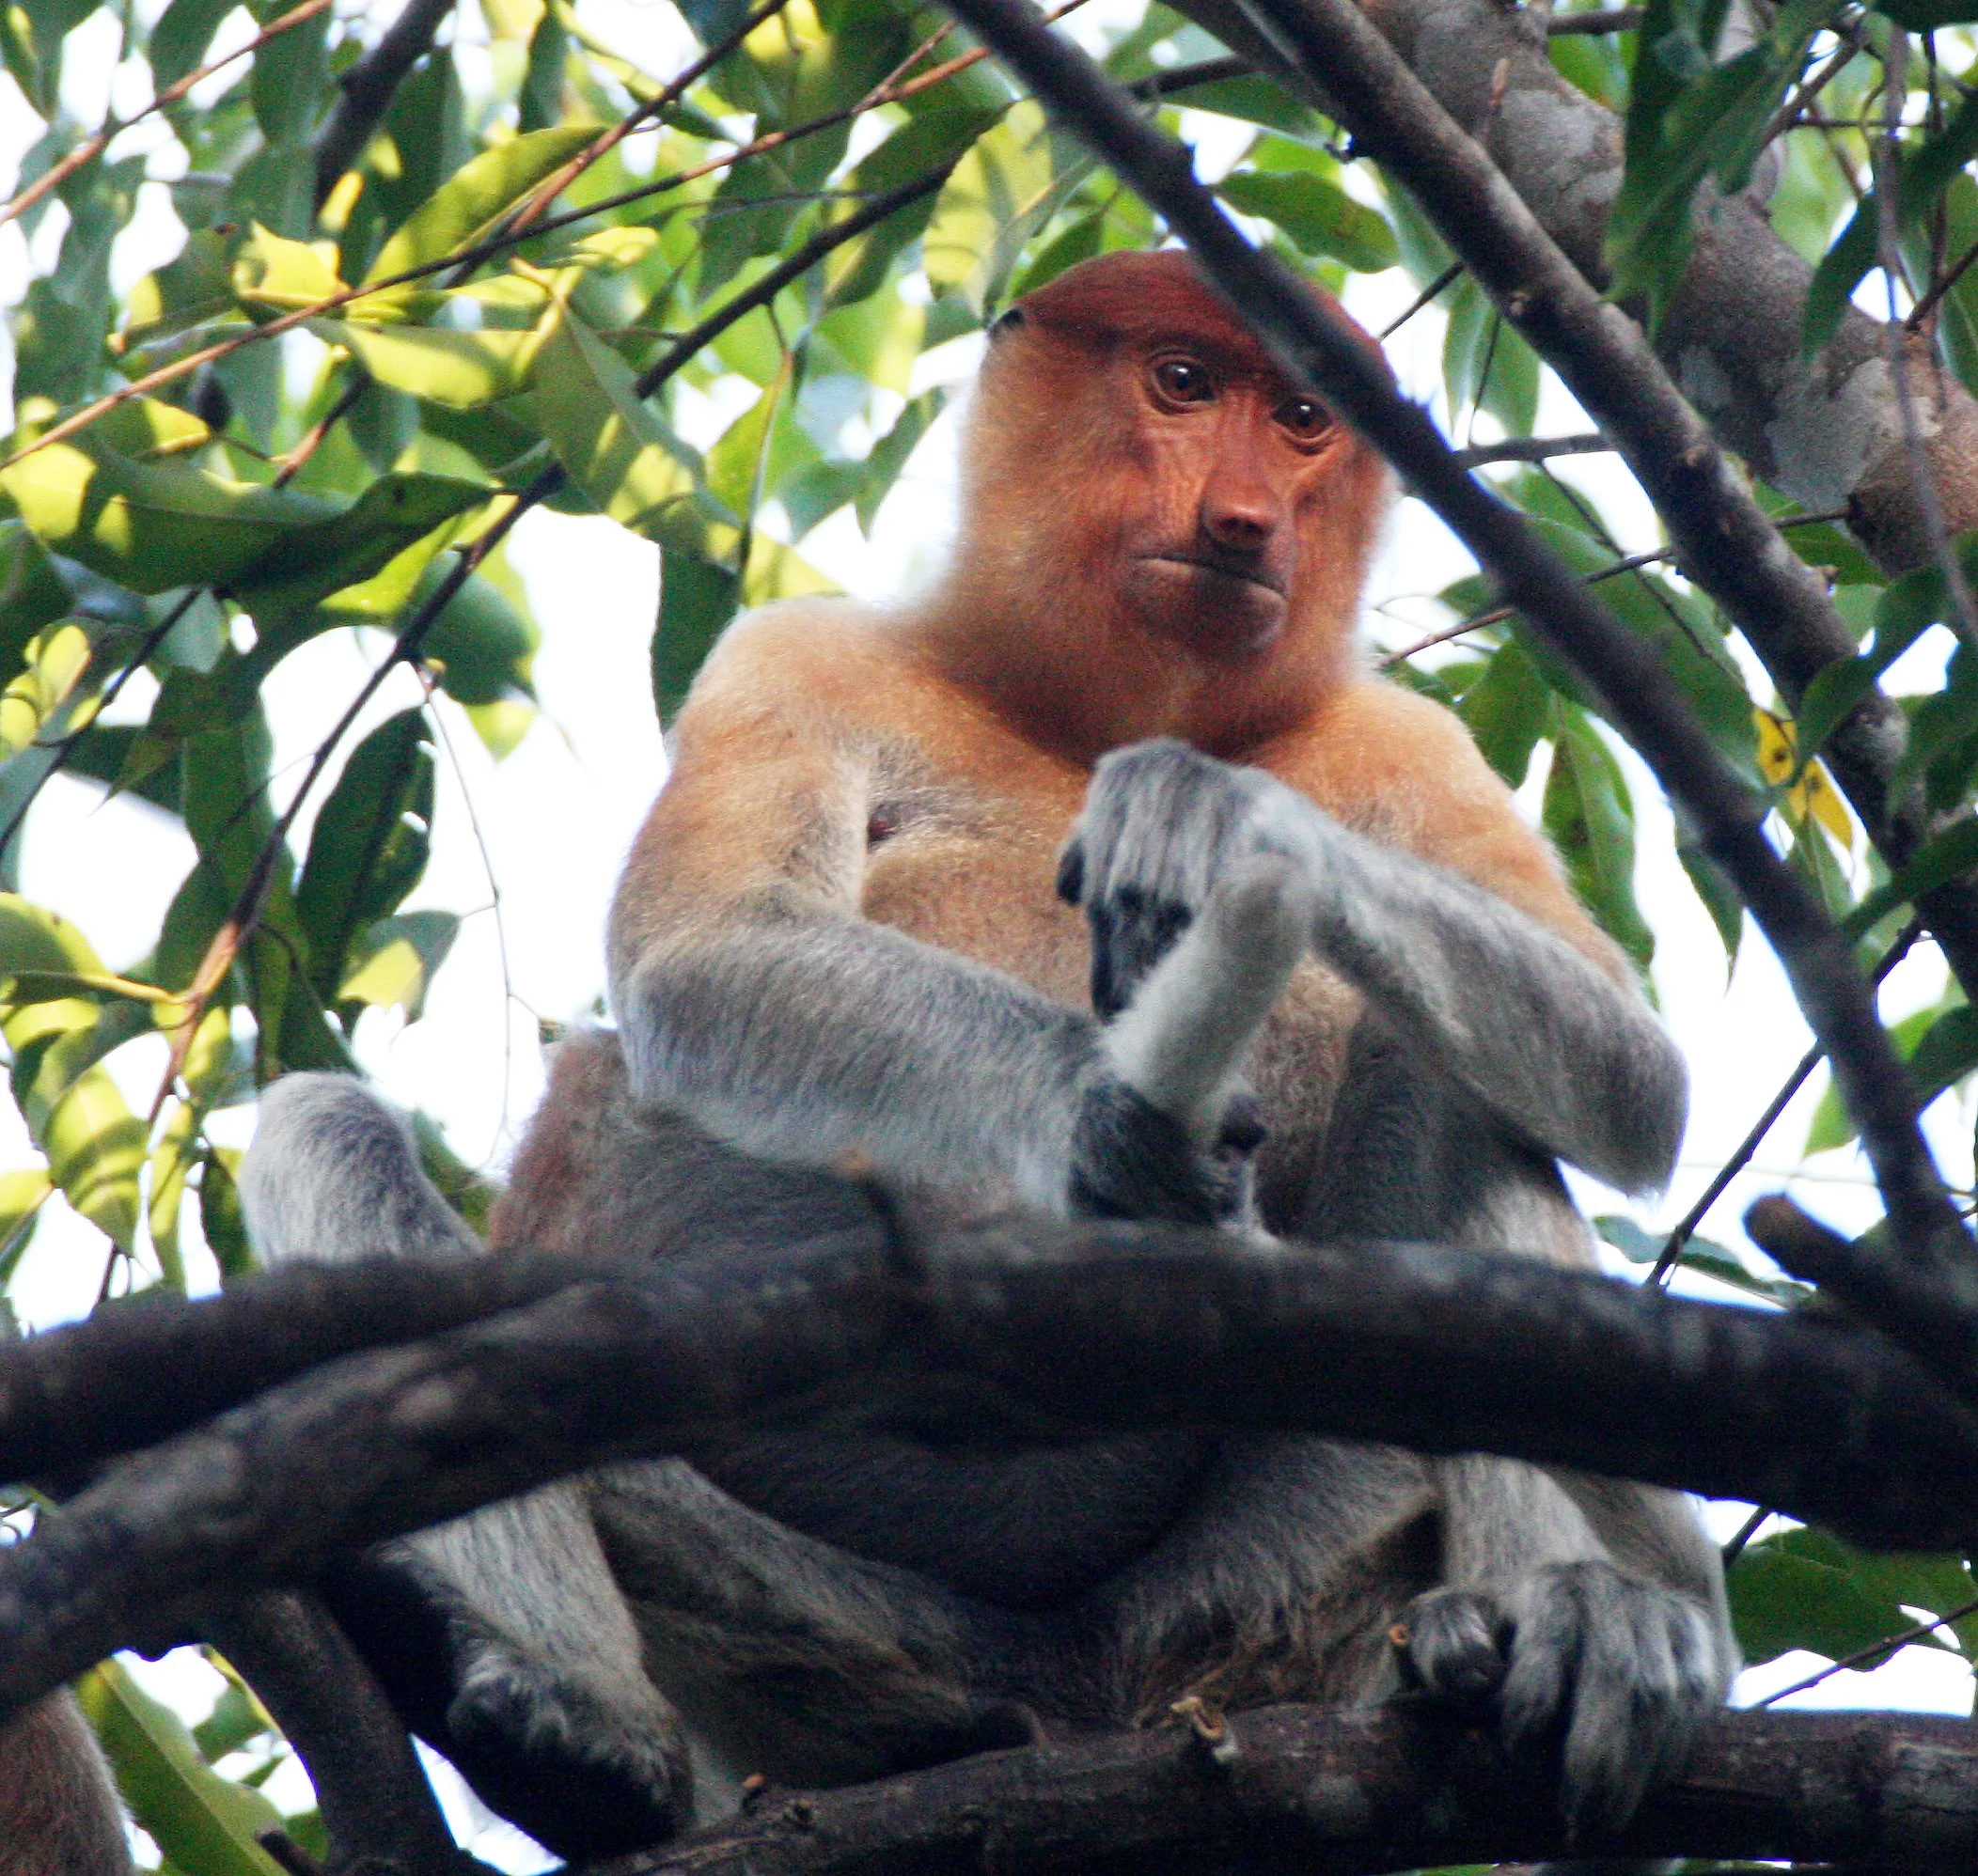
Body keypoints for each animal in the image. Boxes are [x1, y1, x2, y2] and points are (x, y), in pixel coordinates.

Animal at [225, 247, 1734, 1862]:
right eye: (1183, 382)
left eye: (1304, 418)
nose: (1247, 520)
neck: (1078, 710)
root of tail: (1096, 1692)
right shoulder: (796, 652)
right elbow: (709, 950)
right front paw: (1115, 1128)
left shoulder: (1407, 737)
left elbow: (1629, 1068)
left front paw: (1221, 820)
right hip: (815, 1625)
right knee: (331, 1133)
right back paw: (582, 1731)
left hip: (1295, 1569)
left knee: (1462, 1071)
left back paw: (1572, 1629)